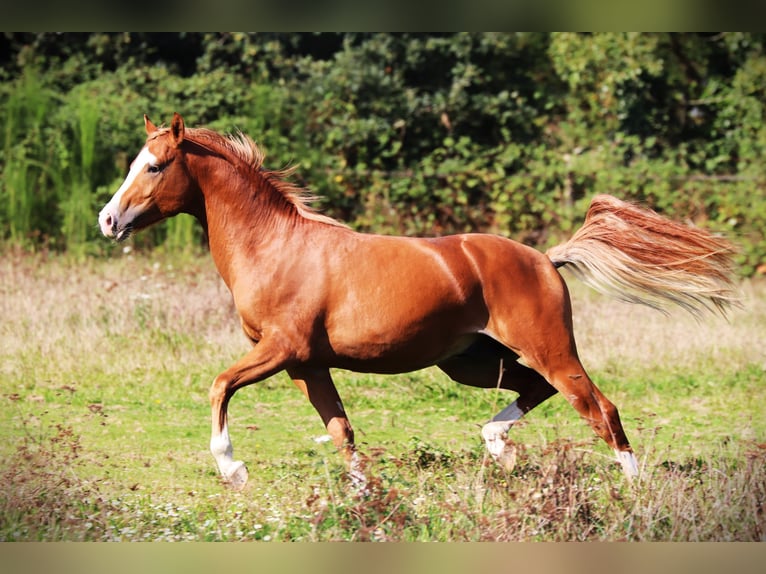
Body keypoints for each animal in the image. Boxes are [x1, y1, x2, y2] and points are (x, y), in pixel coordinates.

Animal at [99, 113, 740, 490]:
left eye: (154, 166)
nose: (108, 220)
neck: (275, 247)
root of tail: (544, 258)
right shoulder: (306, 366)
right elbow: (342, 431)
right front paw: (364, 499)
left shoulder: (282, 350)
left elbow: (219, 386)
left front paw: (232, 468)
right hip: (471, 361)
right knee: (535, 389)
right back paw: (497, 446)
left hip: (550, 347)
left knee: (598, 407)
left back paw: (633, 488)